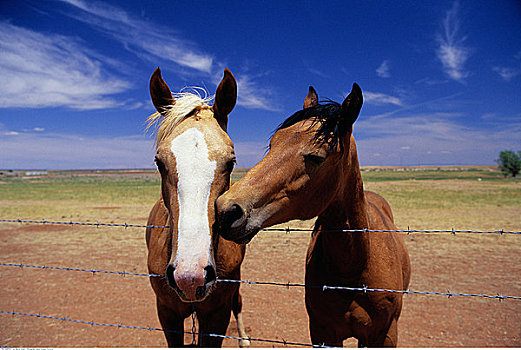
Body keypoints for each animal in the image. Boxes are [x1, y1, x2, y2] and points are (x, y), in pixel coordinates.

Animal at [215, 83, 410, 346]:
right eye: (272, 145)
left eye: (316, 157)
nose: (226, 210)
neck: (353, 269)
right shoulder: (322, 332)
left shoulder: (385, 335)